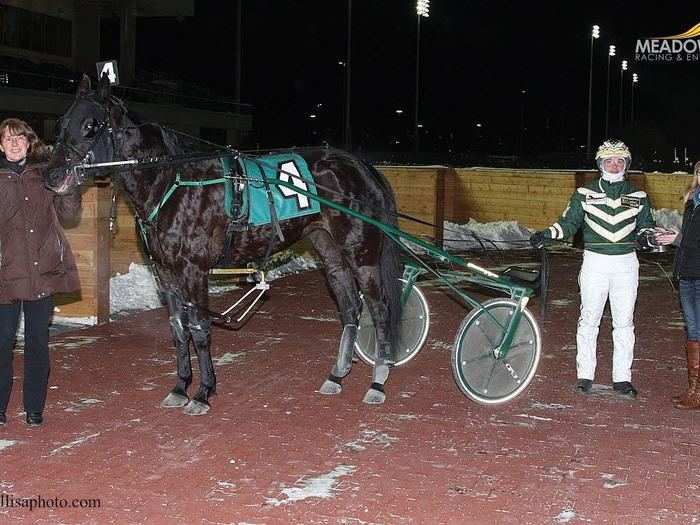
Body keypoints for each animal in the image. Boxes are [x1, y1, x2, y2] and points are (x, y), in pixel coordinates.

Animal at [46, 77, 402, 414]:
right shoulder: (166, 274)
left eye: (90, 125)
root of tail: (360, 167)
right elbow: (179, 330)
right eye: (61, 122)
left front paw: (203, 393)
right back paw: (337, 376)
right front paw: (180, 388)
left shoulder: (194, 271)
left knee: (380, 309)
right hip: (331, 253)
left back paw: (377, 383)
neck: (172, 182)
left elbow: (200, 329)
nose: (52, 175)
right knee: (350, 307)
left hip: (362, 255)